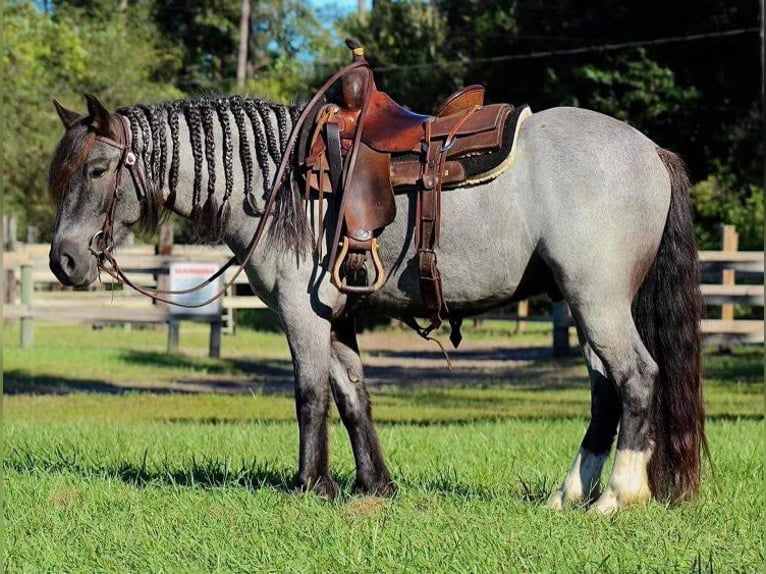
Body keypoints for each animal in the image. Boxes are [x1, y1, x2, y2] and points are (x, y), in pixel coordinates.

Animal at [49, 70, 708, 516]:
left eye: (97, 171)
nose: (64, 260)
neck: (278, 180)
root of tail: (651, 150)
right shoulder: (336, 316)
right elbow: (353, 397)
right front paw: (374, 486)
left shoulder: (301, 312)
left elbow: (310, 395)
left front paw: (311, 486)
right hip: (584, 304)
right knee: (605, 391)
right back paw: (566, 495)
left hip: (597, 301)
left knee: (637, 377)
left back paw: (617, 496)